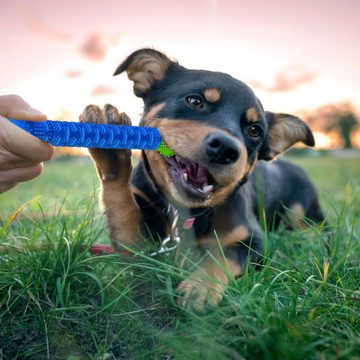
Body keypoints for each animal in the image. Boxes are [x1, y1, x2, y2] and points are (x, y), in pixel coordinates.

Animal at [80, 49, 324, 310]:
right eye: (195, 101)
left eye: (254, 131)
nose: (226, 148)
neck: (184, 212)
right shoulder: (138, 244)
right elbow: (123, 209)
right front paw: (108, 143)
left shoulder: (254, 241)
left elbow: (223, 255)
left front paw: (201, 288)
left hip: (300, 209)